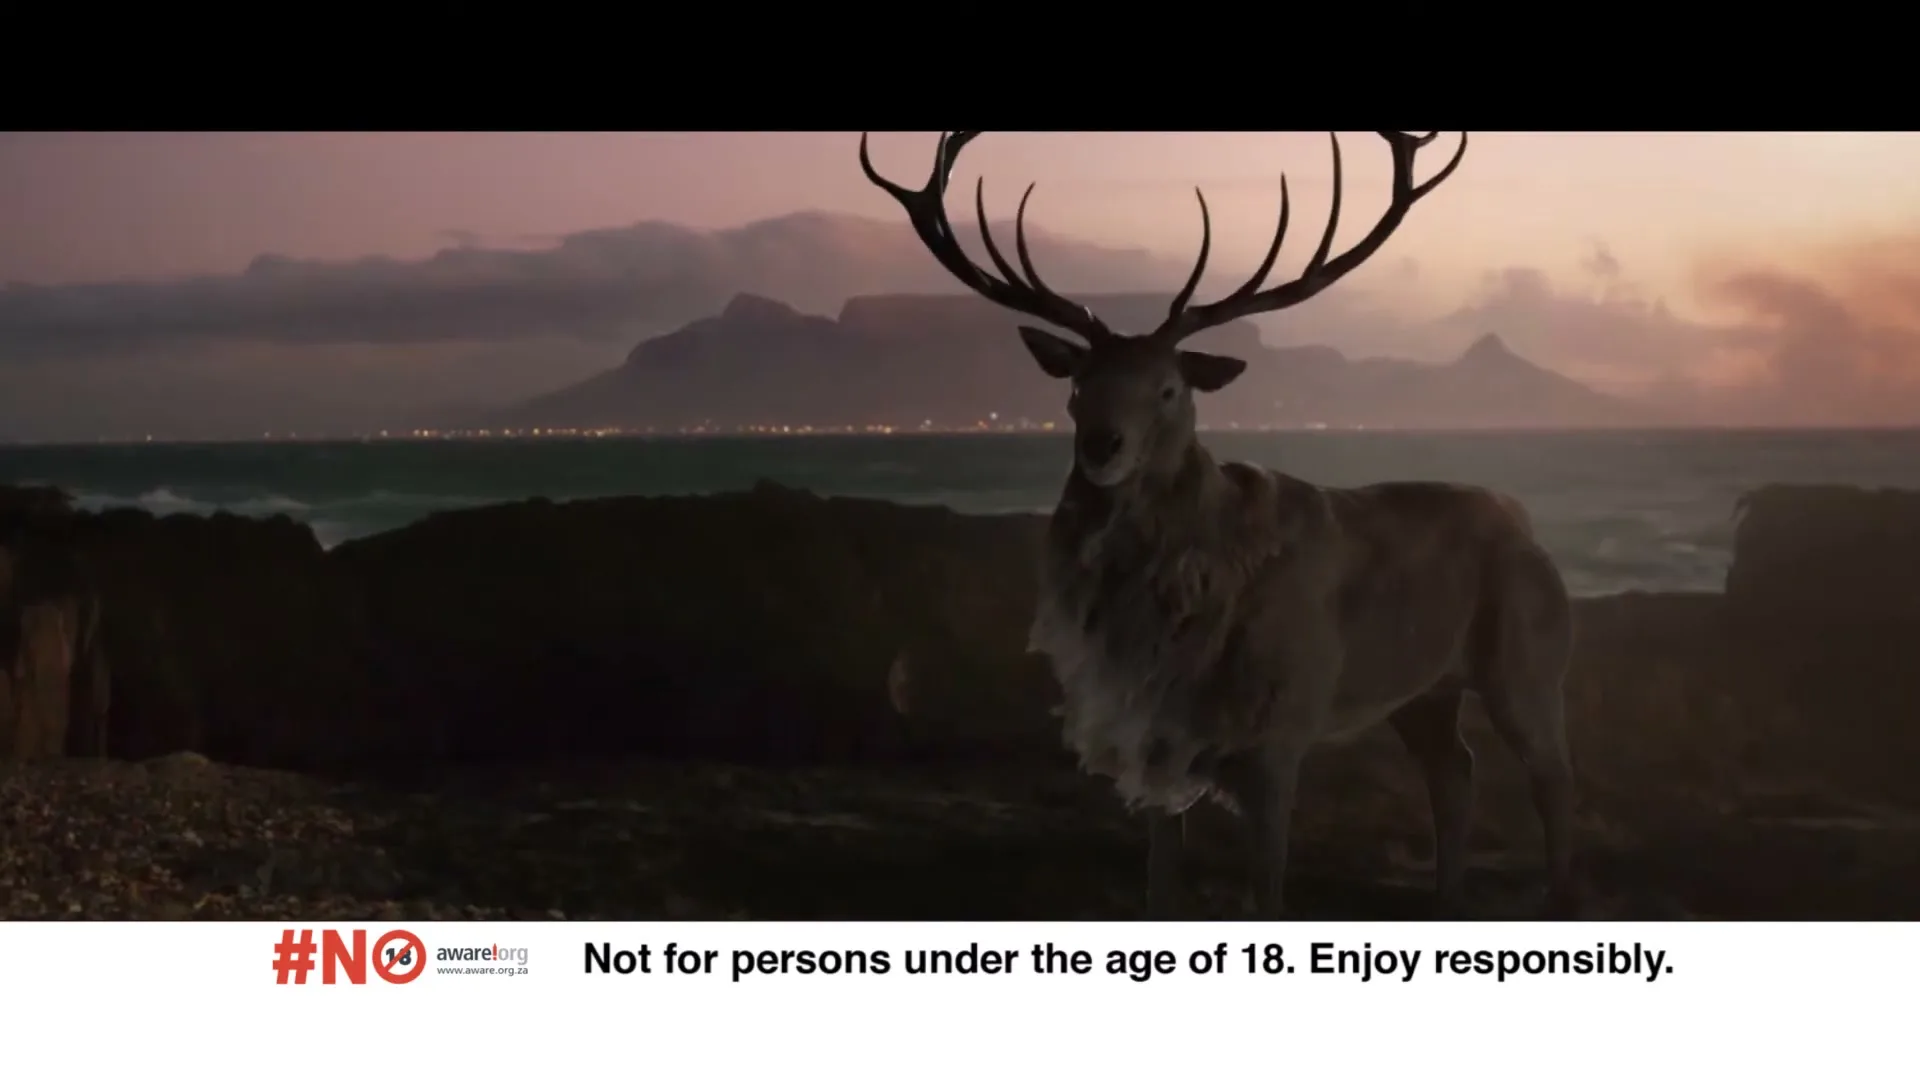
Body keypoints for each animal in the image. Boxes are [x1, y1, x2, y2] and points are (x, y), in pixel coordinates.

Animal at [859, 131, 1577, 920]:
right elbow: (1158, 886)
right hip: (1424, 689)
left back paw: (1564, 898)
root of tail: (1521, 521)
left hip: (1528, 657)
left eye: (1169, 388)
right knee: (1455, 771)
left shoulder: (1281, 733)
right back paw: (1446, 902)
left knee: (1552, 778)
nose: (1102, 445)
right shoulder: (1155, 737)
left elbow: (1268, 892)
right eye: (1078, 384)